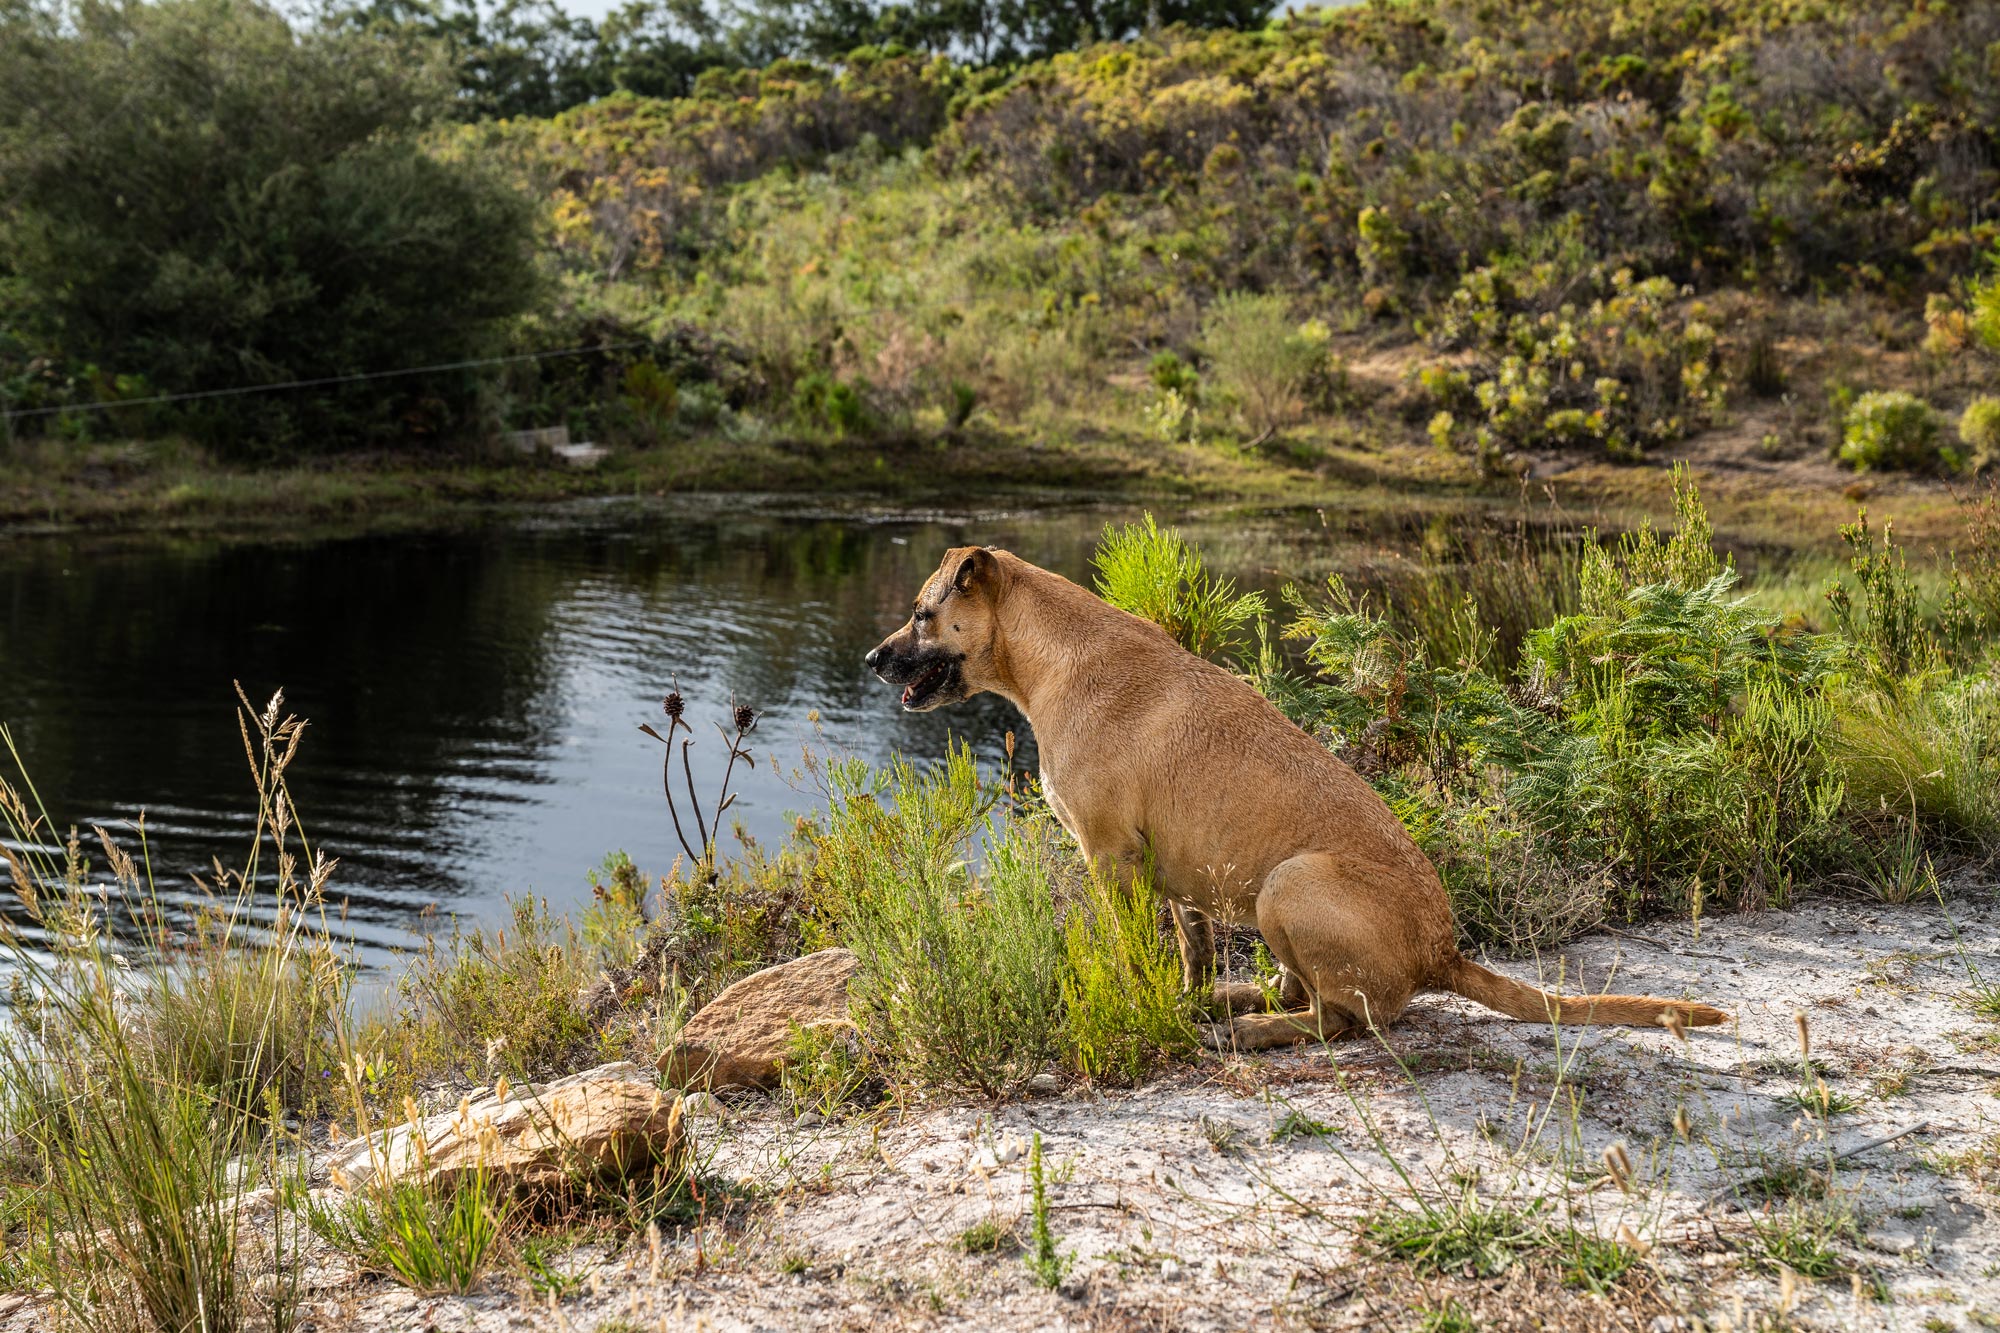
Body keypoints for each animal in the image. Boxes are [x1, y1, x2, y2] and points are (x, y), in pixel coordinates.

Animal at [868, 544, 1728, 1040]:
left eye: (922, 613)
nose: (874, 658)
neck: (1048, 654)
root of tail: (1441, 952)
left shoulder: (1111, 859)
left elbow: (1133, 953)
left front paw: (1141, 1002)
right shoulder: (1170, 875)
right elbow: (1189, 948)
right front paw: (1181, 996)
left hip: (1290, 884)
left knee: (1331, 1022)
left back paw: (1246, 1034)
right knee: (1293, 993)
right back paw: (1229, 1003)